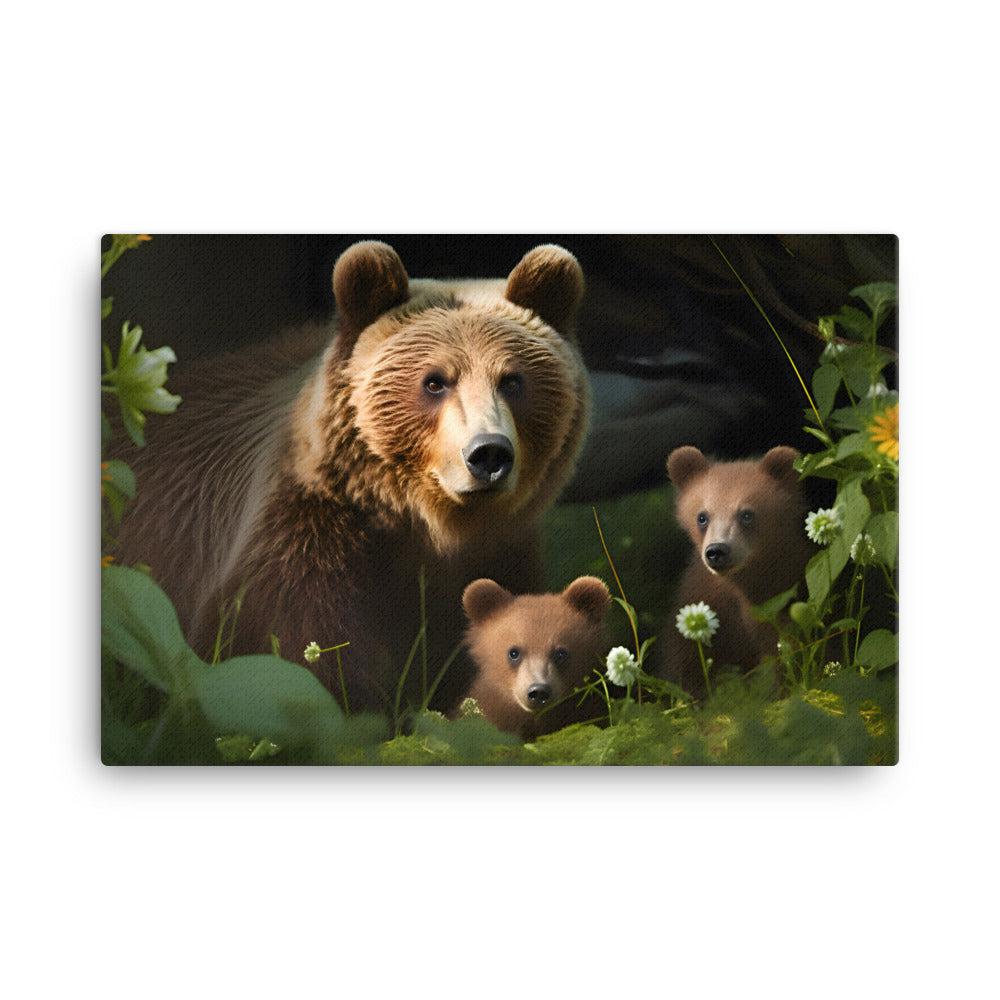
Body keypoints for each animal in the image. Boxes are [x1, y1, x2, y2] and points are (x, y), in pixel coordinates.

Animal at [113, 241, 591, 713]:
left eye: (512, 380)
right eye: (435, 381)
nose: (488, 453)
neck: (423, 527)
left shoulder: (499, 555)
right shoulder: (304, 544)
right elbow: (290, 651)